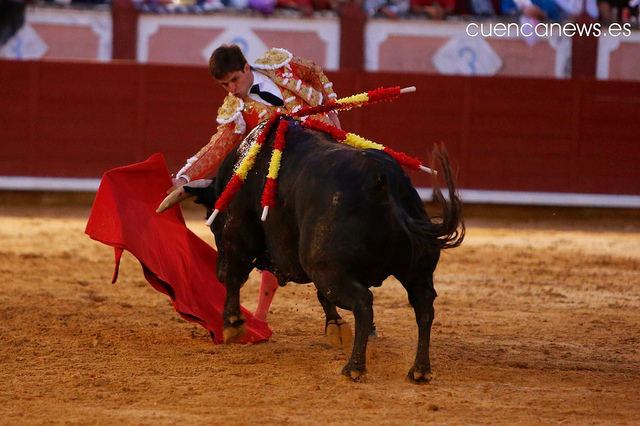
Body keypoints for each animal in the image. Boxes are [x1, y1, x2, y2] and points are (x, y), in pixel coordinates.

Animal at [182, 116, 462, 382]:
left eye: (212, 224)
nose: (216, 269)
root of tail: (385, 179)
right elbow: (322, 296)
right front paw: (336, 326)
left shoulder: (238, 232)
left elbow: (234, 276)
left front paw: (232, 325)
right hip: (415, 271)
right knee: (423, 306)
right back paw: (420, 371)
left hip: (329, 269)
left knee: (364, 303)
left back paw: (354, 369)